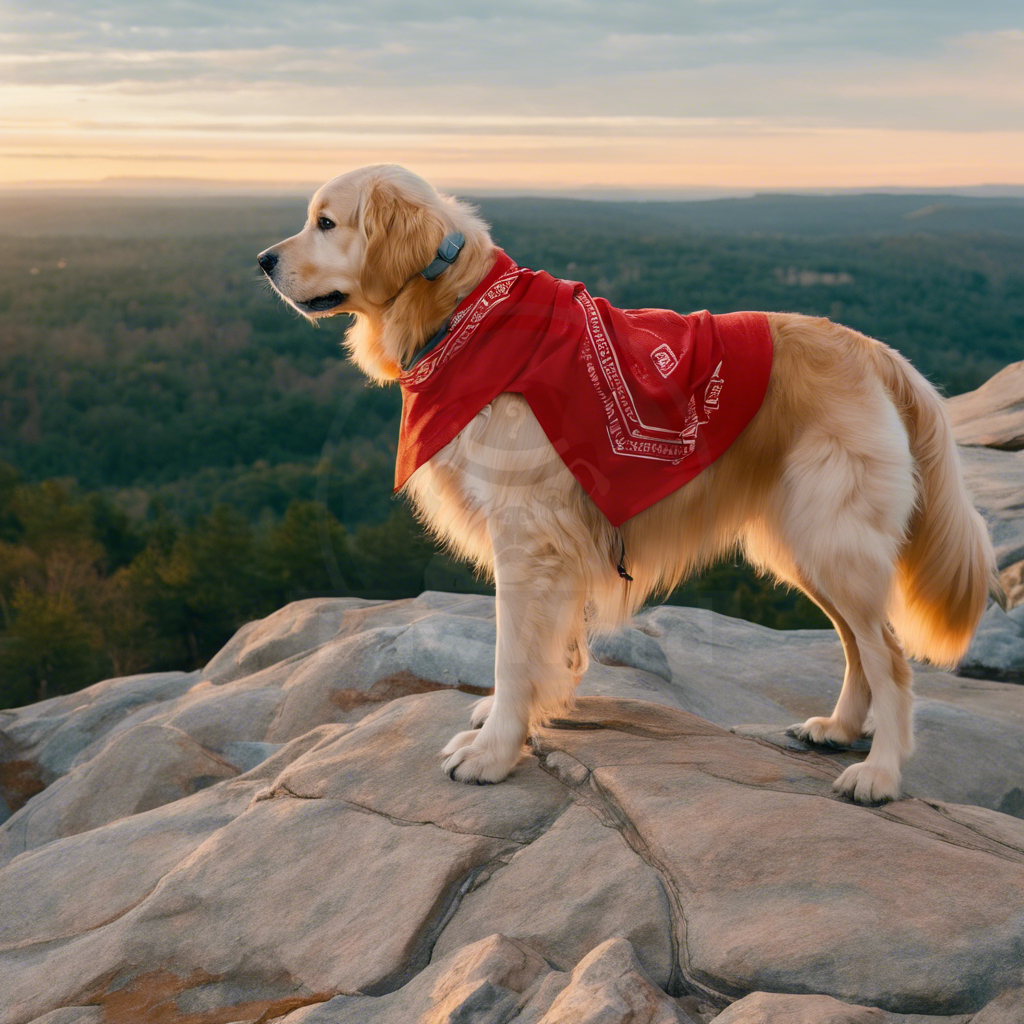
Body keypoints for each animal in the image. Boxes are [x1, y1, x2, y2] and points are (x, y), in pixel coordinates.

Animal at [258, 167, 999, 802]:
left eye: (325, 222)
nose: (262, 260)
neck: (466, 312)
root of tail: (875, 351)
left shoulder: (526, 537)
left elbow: (511, 652)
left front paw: (493, 752)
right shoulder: (553, 546)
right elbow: (543, 652)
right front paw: (515, 718)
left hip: (832, 538)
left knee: (891, 658)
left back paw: (880, 773)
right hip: (806, 546)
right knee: (855, 646)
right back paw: (838, 729)